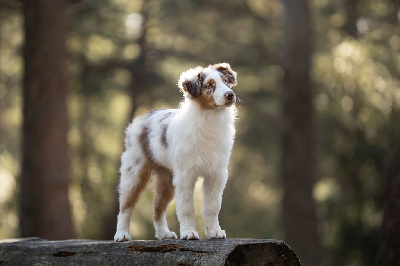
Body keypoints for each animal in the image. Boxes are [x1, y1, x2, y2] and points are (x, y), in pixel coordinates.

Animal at [113, 62, 238, 241]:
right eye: (209, 85)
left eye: (226, 81)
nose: (230, 95)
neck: (209, 118)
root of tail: (142, 118)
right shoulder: (185, 175)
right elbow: (186, 207)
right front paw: (189, 233)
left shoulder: (216, 174)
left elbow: (212, 206)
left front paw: (215, 232)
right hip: (134, 173)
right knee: (126, 206)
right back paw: (122, 234)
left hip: (167, 179)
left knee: (157, 208)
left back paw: (164, 233)